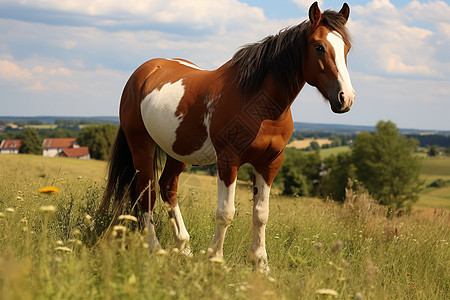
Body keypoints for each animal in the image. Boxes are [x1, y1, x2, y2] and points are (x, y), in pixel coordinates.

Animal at [101, 0, 356, 272]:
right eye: (319, 47)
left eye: (347, 48)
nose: (345, 98)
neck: (259, 104)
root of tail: (144, 72)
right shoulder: (228, 161)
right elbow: (225, 213)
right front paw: (215, 258)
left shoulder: (269, 163)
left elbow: (261, 213)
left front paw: (261, 264)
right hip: (141, 145)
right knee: (146, 191)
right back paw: (155, 247)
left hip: (177, 152)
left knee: (167, 187)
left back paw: (184, 247)